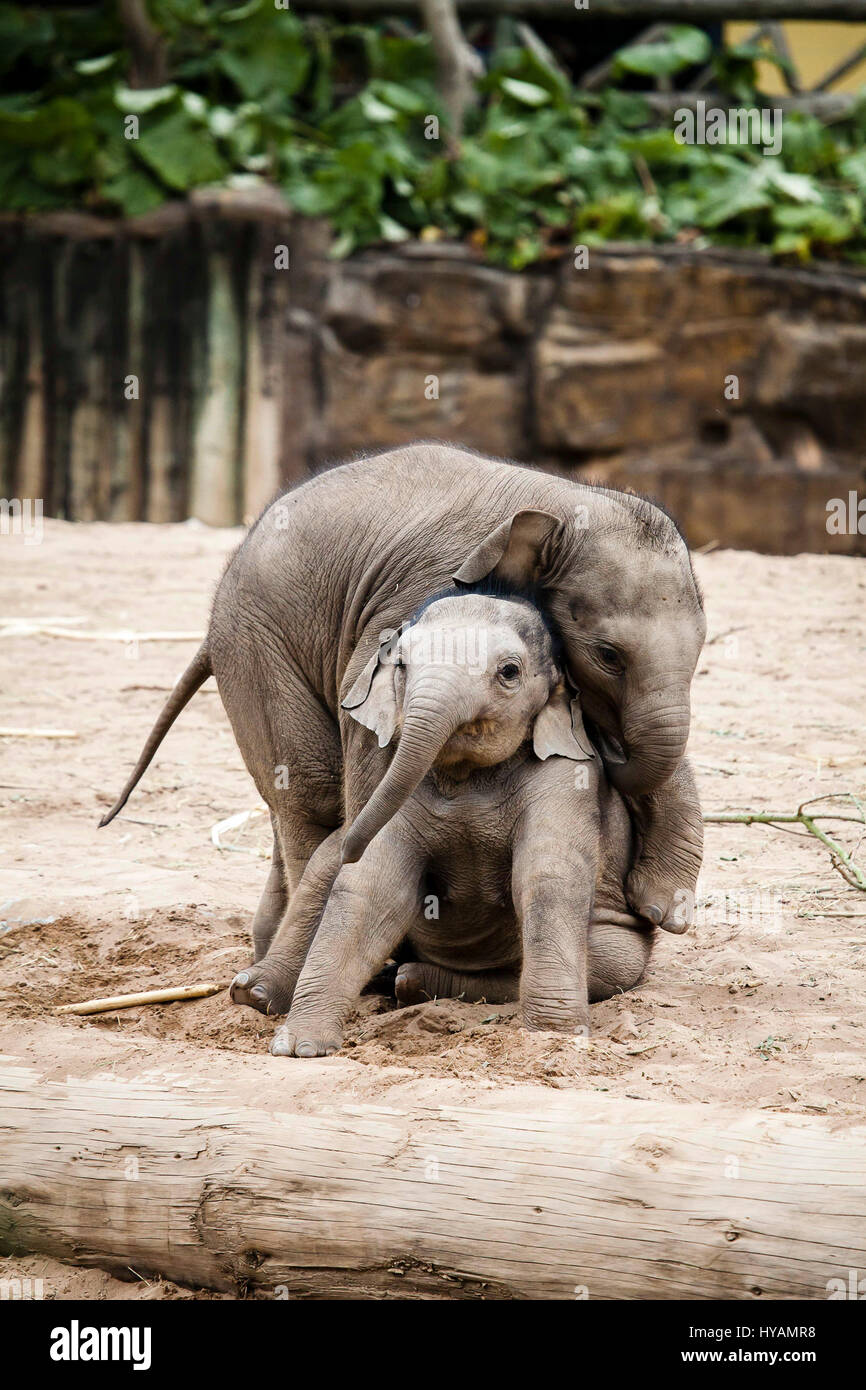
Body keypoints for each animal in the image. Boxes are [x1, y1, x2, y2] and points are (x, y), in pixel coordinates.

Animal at [99, 443, 705, 967]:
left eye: (701, 649)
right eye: (608, 655)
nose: (648, 909)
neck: (563, 502)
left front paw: (661, 905)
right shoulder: (416, 598)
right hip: (254, 644)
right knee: (310, 792)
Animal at [230, 586, 655, 1056]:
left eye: (509, 671)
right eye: (401, 664)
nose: (351, 840)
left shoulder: (568, 776)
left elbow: (547, 876)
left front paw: (551, 1039)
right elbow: (373, 886)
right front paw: (299, 1048)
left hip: (619, 945)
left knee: (612, 962)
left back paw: (410, 981)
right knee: (324, 868)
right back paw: (253, 990)